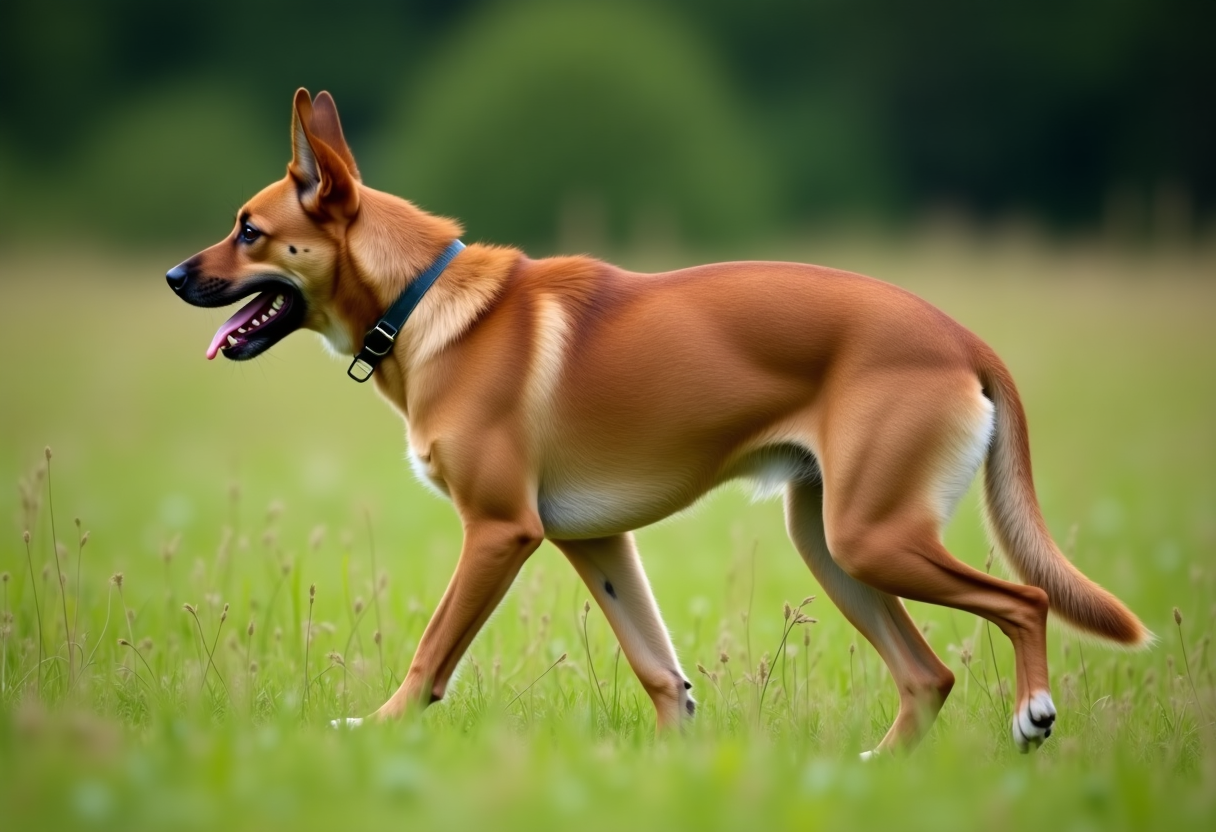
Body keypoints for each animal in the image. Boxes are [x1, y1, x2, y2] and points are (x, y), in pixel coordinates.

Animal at [166, 89, 1143, 754]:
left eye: (249, 230)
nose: (176, 276)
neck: (421, 302)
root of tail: (962, 337)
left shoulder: (498, 531)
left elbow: (432, 651)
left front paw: (377, 728)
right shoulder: (594, 542)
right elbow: (659, 671)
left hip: (872, 536)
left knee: (1020, 601)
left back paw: (1032, 714)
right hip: (832, 541)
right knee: (928, 674)